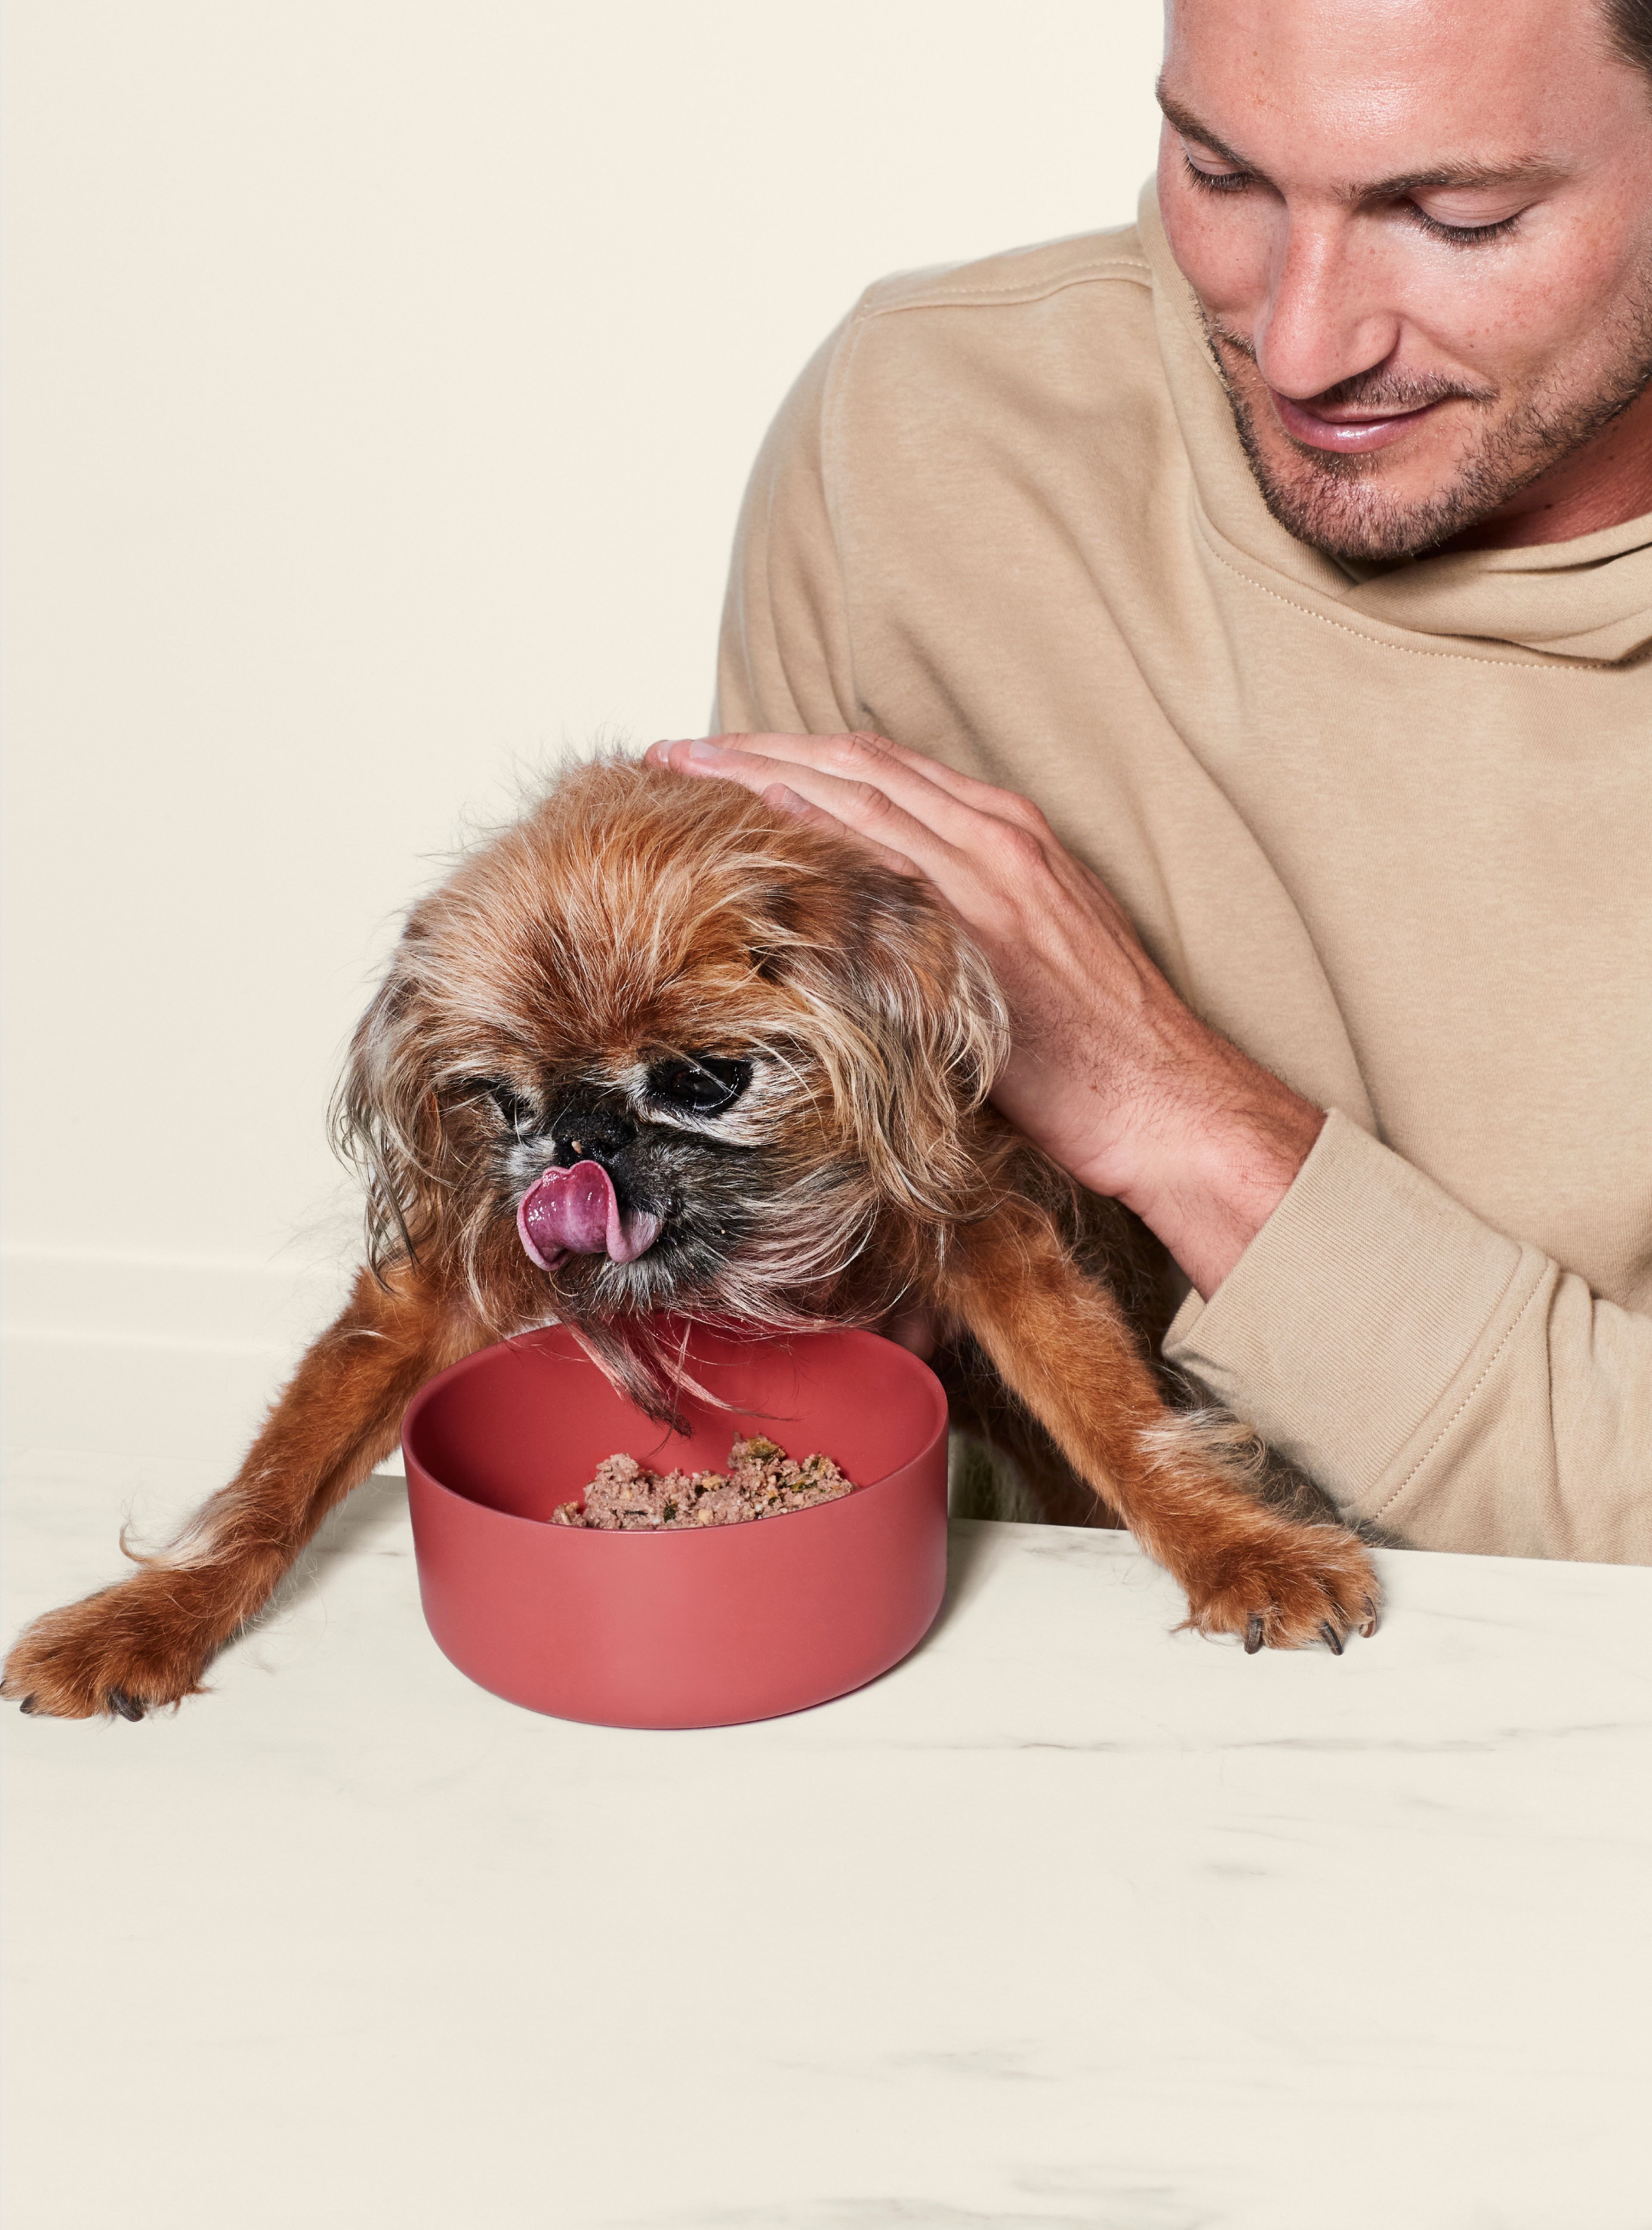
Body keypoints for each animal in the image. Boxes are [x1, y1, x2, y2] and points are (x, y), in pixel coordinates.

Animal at [3, 758, 1382, 1712]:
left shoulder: (989, 1230)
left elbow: (1121, 1420)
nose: (577, 1136)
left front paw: (1237, 1545)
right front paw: (152, 1613)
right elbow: (271, 1487)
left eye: (706, 1081)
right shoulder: (423, 1294)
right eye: (504, 1100)